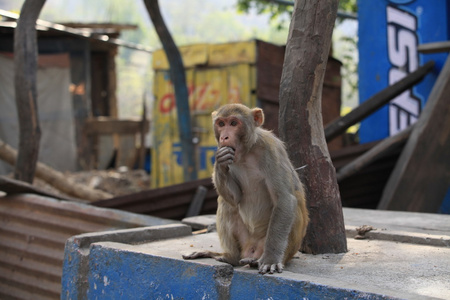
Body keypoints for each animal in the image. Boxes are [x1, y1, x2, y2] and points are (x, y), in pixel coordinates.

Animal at [183, 103, 310, 274]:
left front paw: (271, 259)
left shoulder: (271, 150)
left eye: (233, 123)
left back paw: (258, 261)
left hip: (278, 246)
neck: (247, 152)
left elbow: (284, 199)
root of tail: (252, 249)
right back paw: (230, 257)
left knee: (292, 206)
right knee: (226, 203)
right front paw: (220, 161)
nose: (224, 137)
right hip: (244, 241)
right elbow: (235, 198)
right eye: (221, 124)